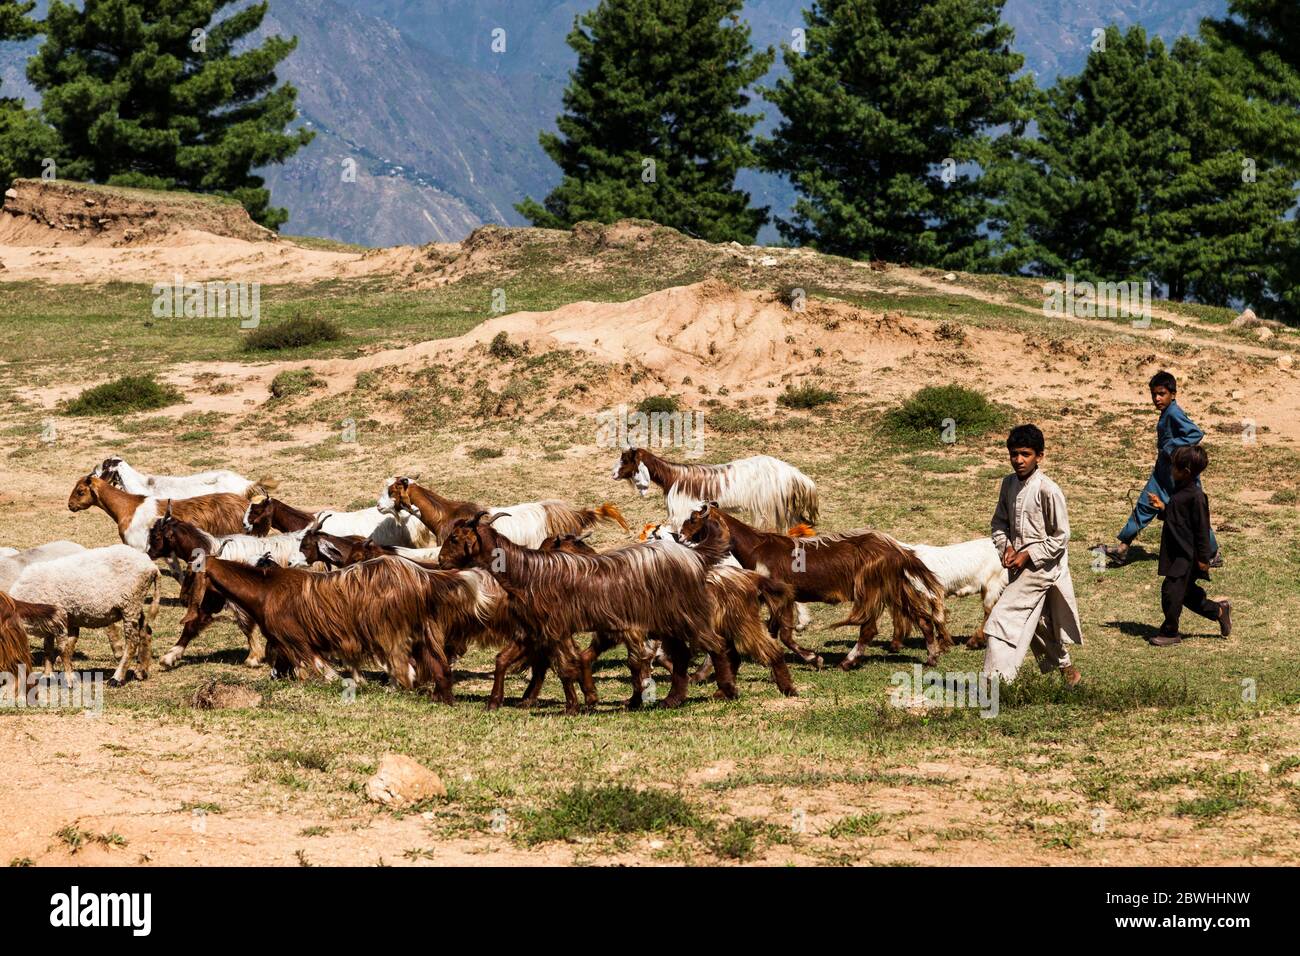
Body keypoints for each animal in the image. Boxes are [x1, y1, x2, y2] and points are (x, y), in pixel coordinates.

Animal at [8, 546, 161, 686]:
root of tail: (151, 566)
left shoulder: (59, 618)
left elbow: (62, 649)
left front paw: (70, 680)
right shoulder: (50, 624)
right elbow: (48, 649)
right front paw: (47, 676)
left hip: (130, 603)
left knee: (132, 642)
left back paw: (117, 678)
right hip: (135, 605)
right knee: (146, 631)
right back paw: (141, 671)